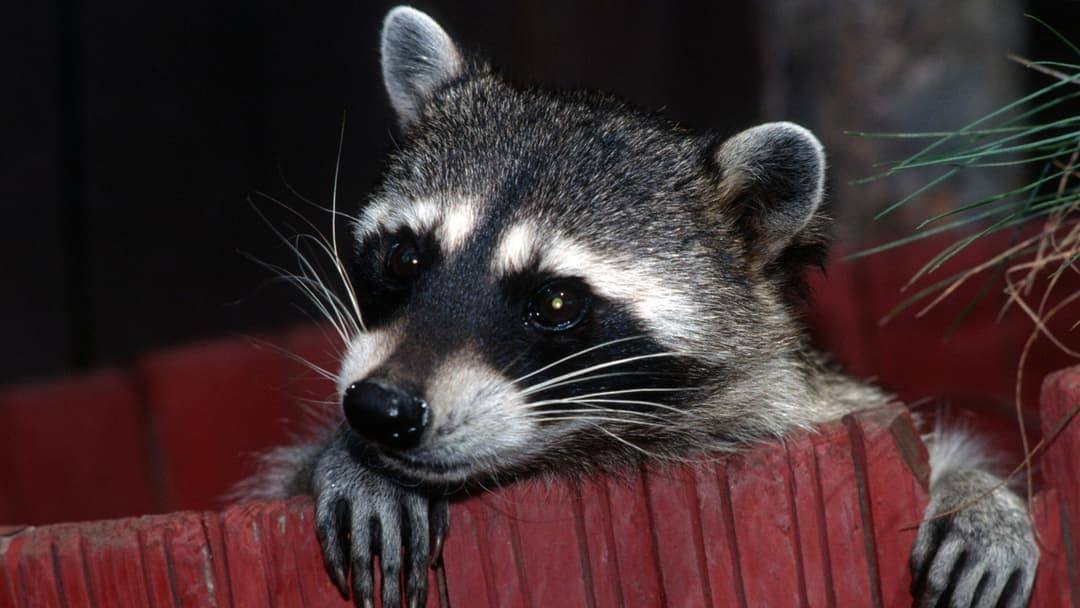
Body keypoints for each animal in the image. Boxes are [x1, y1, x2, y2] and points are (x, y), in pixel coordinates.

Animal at [250, 7, 1038, 608]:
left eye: (556, 301)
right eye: (405, 258)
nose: (379, 408)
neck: (583, 450)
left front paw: (972, 489)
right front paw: (346, 460)